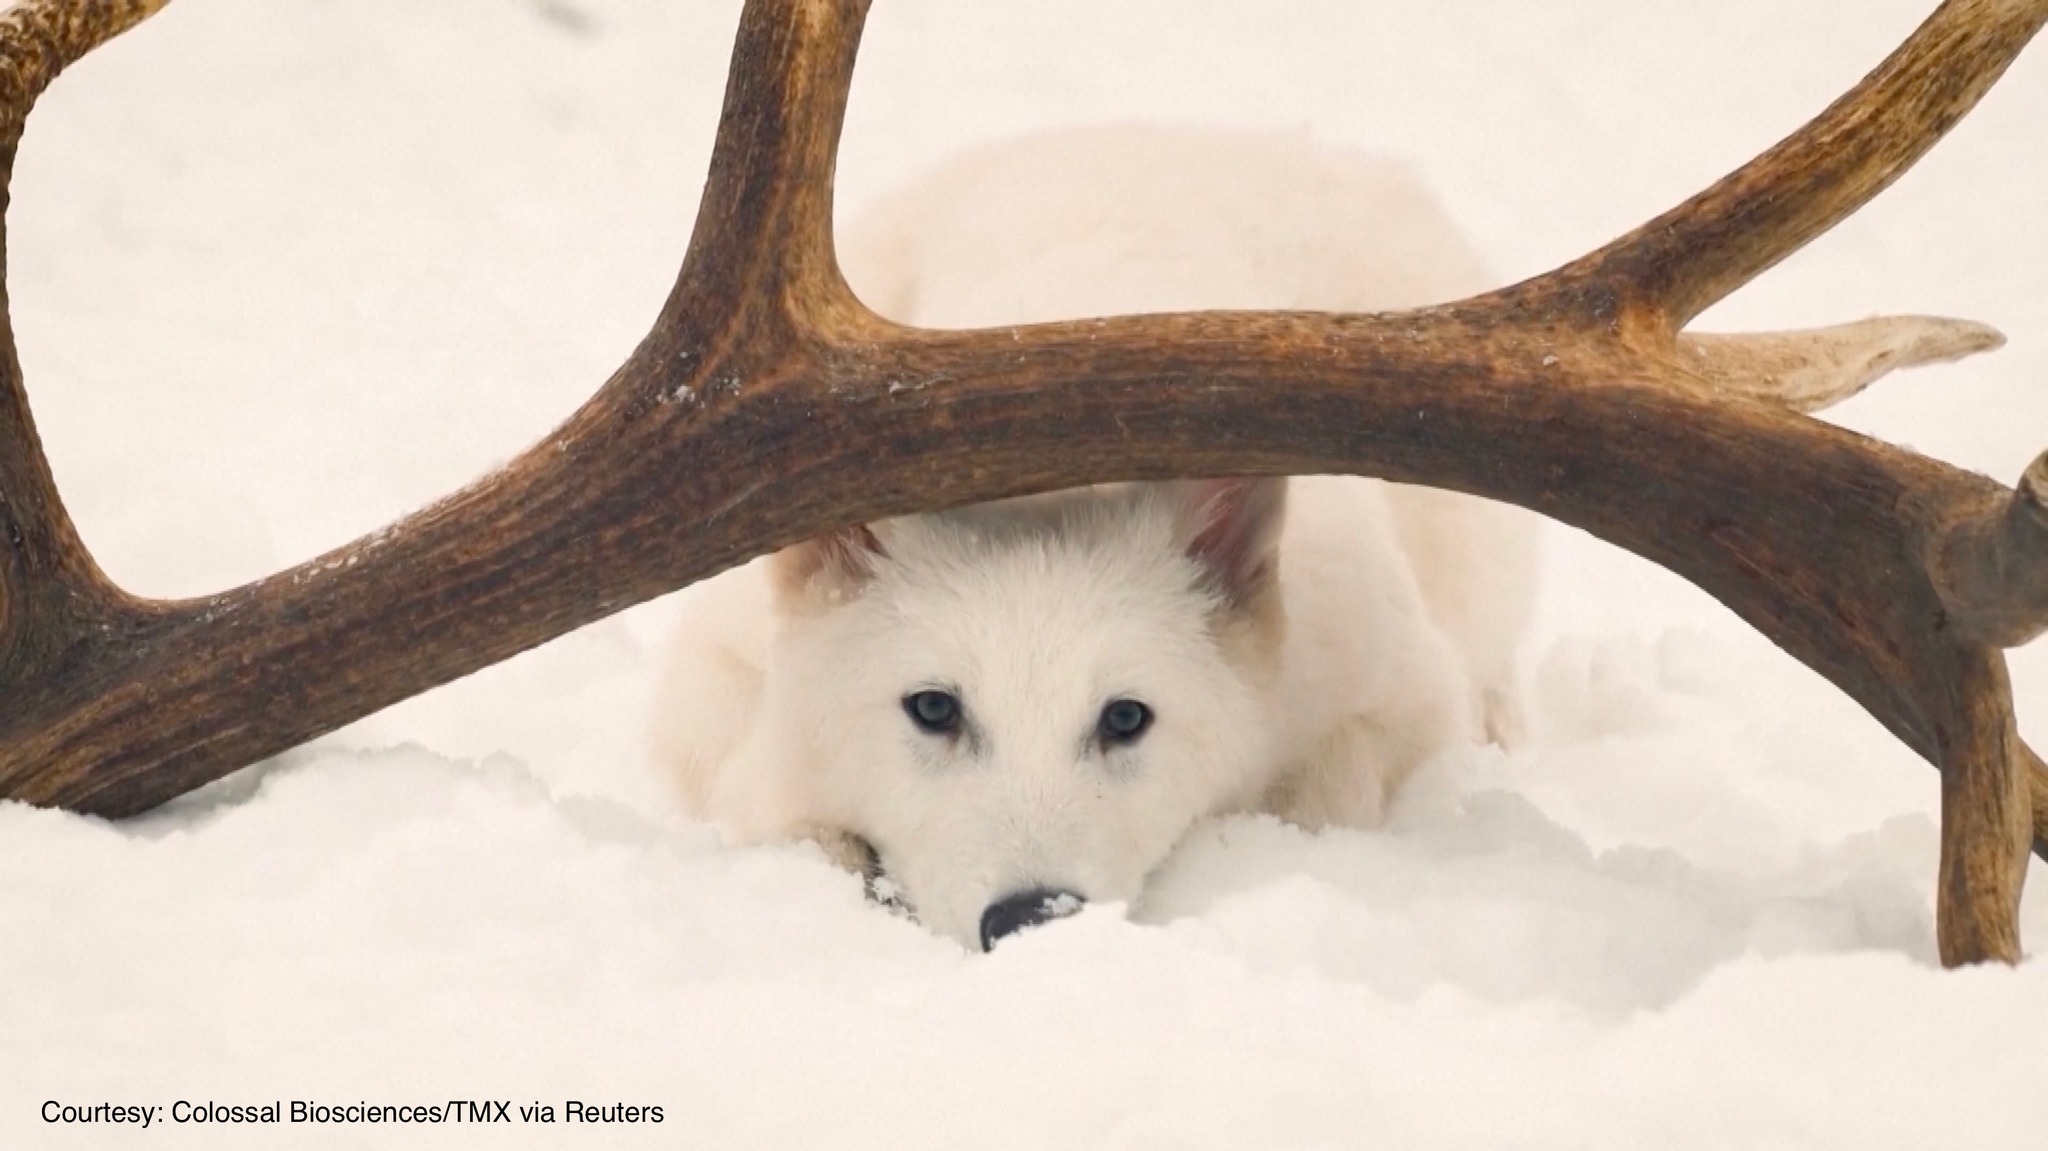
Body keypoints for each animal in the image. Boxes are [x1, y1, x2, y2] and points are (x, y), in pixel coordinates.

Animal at [650, 126, 1540, 951]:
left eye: (1124, 718)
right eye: (934, 707)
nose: (1033, 920)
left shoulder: (1399, 686)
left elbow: (1332, 786)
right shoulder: (711, 673)